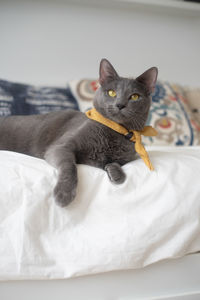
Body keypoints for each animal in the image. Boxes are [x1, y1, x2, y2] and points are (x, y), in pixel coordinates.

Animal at [0, 59, 158, 207]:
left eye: (134, 96)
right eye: (112, 92)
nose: (120, 104)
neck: (115, 131)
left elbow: (114, 163)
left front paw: (117, 173)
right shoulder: (61, 147)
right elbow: (70, 166)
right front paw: (64, 194)